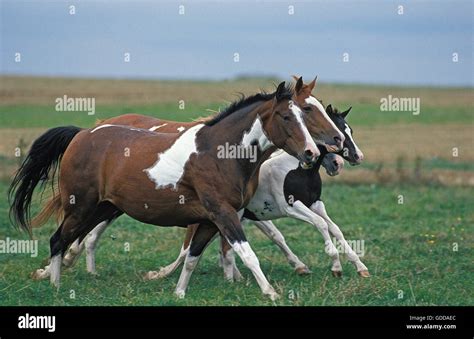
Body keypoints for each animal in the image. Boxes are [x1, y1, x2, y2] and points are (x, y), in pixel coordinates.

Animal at [9, 81, 338, 302]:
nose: (311, 152)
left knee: (70, 240)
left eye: (305, 114)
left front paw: (179, 292)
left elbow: (192, 256)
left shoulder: (209, 221)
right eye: (290, 116)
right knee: (58, 239)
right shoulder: (224, 214)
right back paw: (55, 286)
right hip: (81, 207)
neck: (220, 153)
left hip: (103, 208)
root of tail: (81, 135)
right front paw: (270, 292)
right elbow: (247, 254)